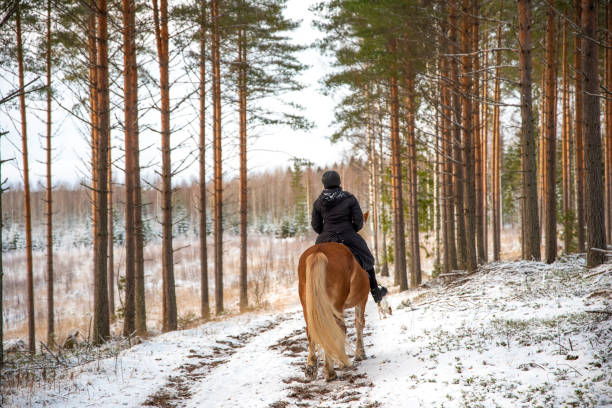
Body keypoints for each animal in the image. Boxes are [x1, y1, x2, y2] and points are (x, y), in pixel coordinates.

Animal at [296, 215, 368, 380]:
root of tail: (318, 252)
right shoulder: (362, 300)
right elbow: (359, 323)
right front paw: (359, 354)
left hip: (308, 304)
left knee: (312, 330)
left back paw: (311, 368)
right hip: (335, 304)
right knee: (338, 328)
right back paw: (331, 370)